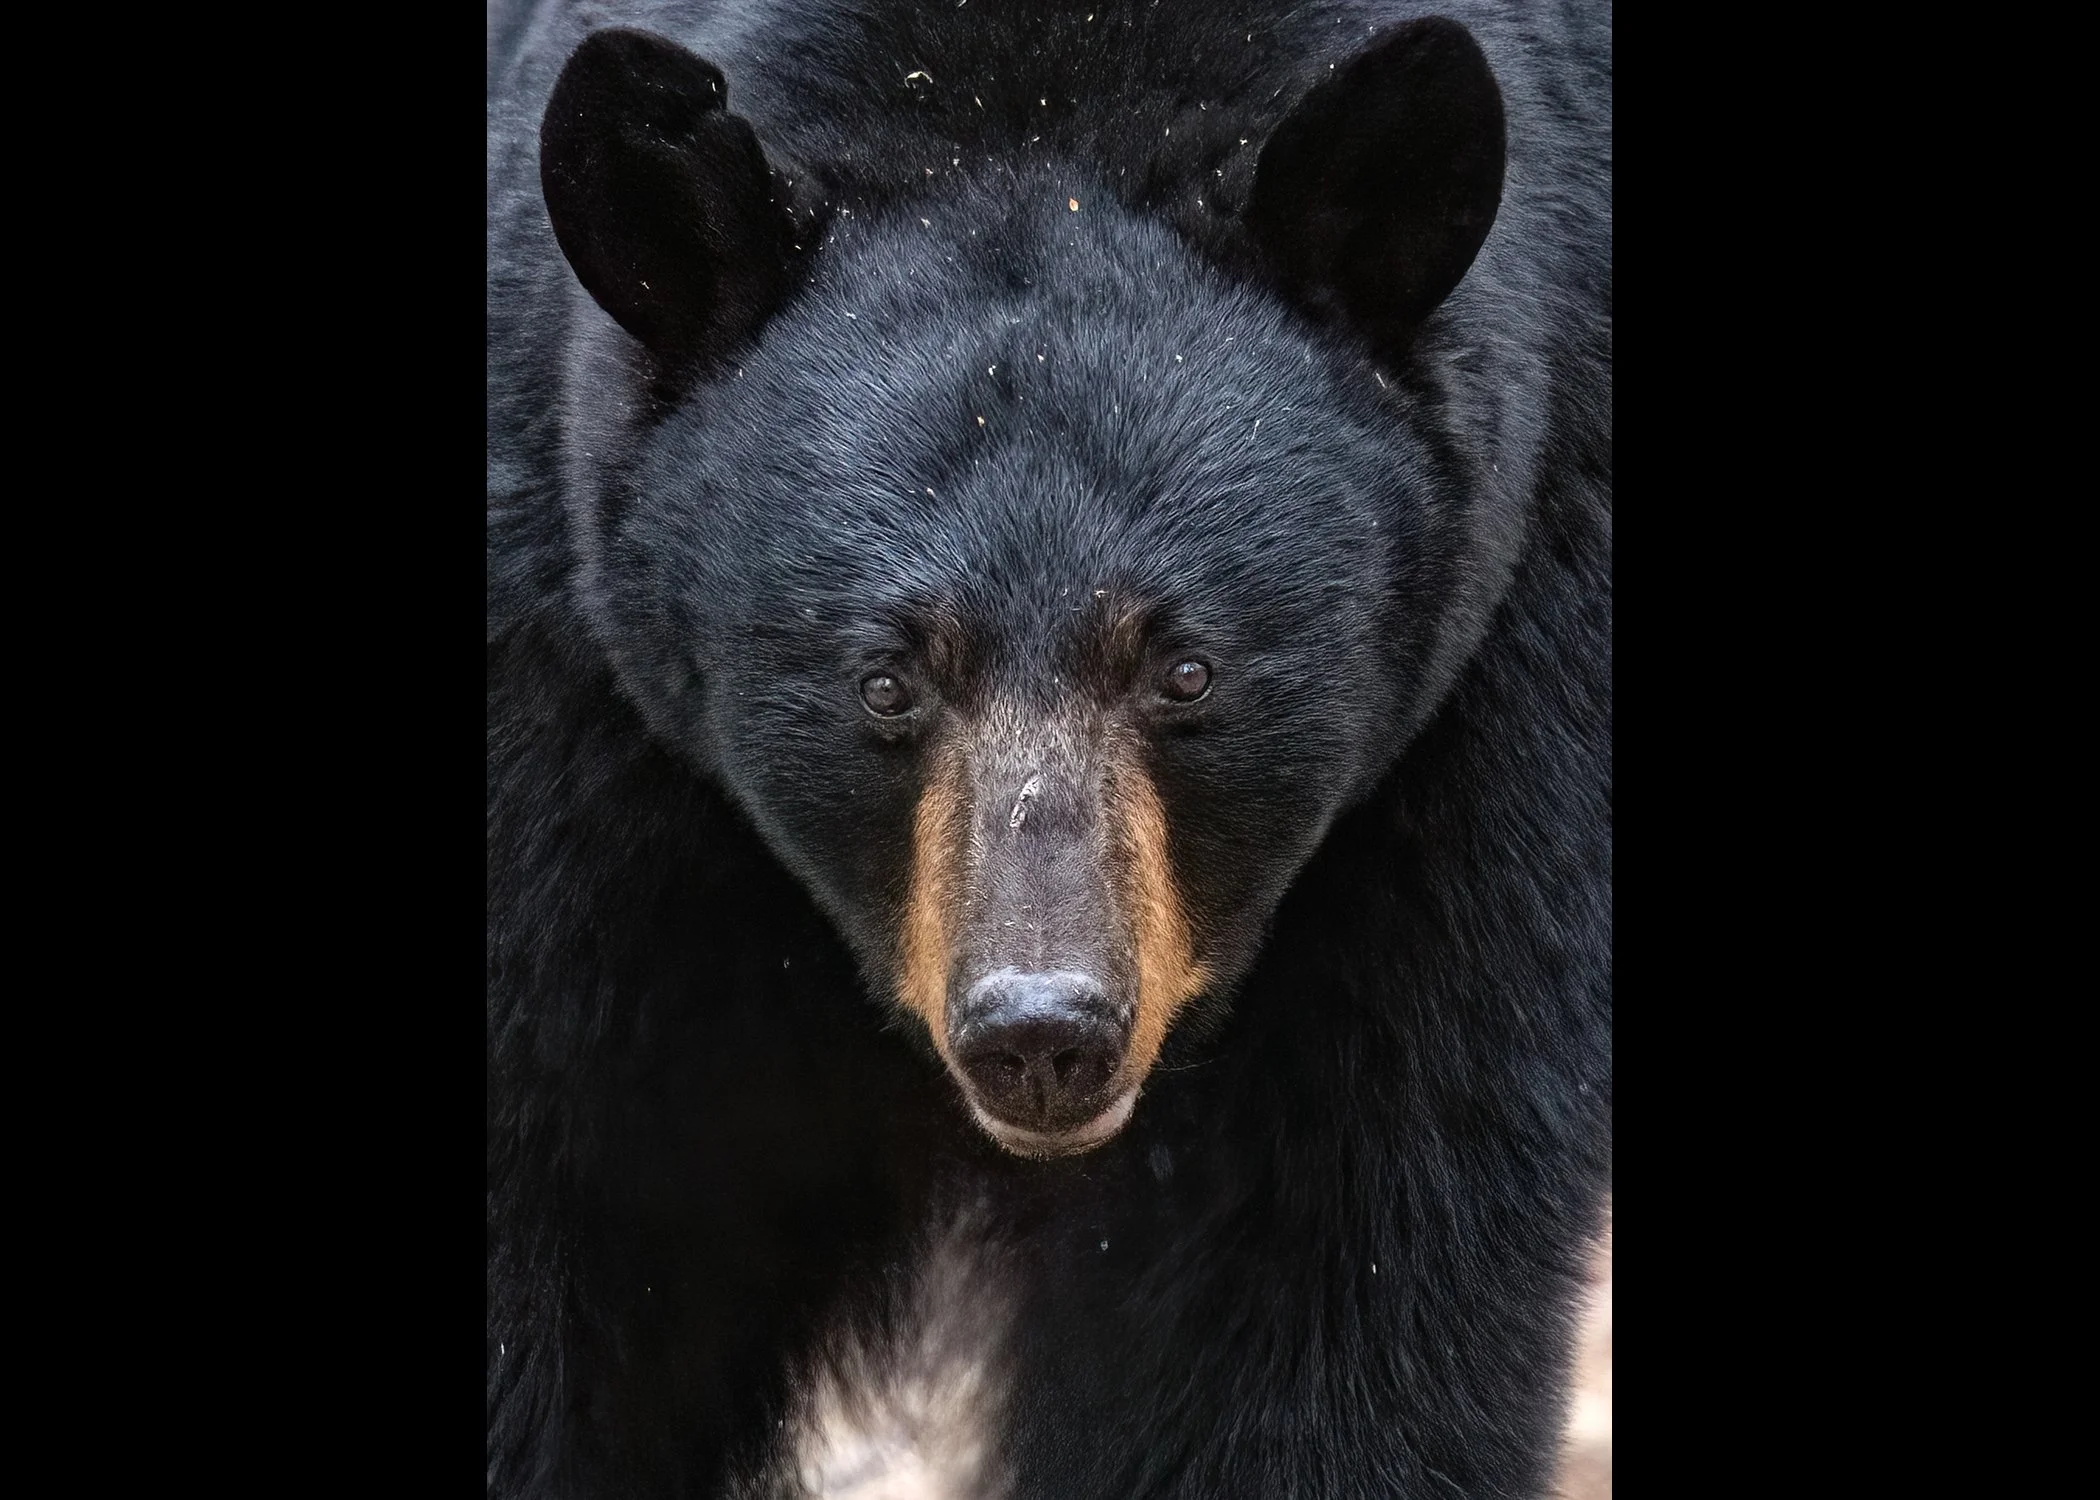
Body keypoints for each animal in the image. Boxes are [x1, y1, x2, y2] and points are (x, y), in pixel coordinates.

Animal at [487, 2, 1611, 1497]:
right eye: (886, 682)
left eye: (1186, 671)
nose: (1042, 1032)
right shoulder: (567, 708)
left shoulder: (1501, 688)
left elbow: (1334, 1265)